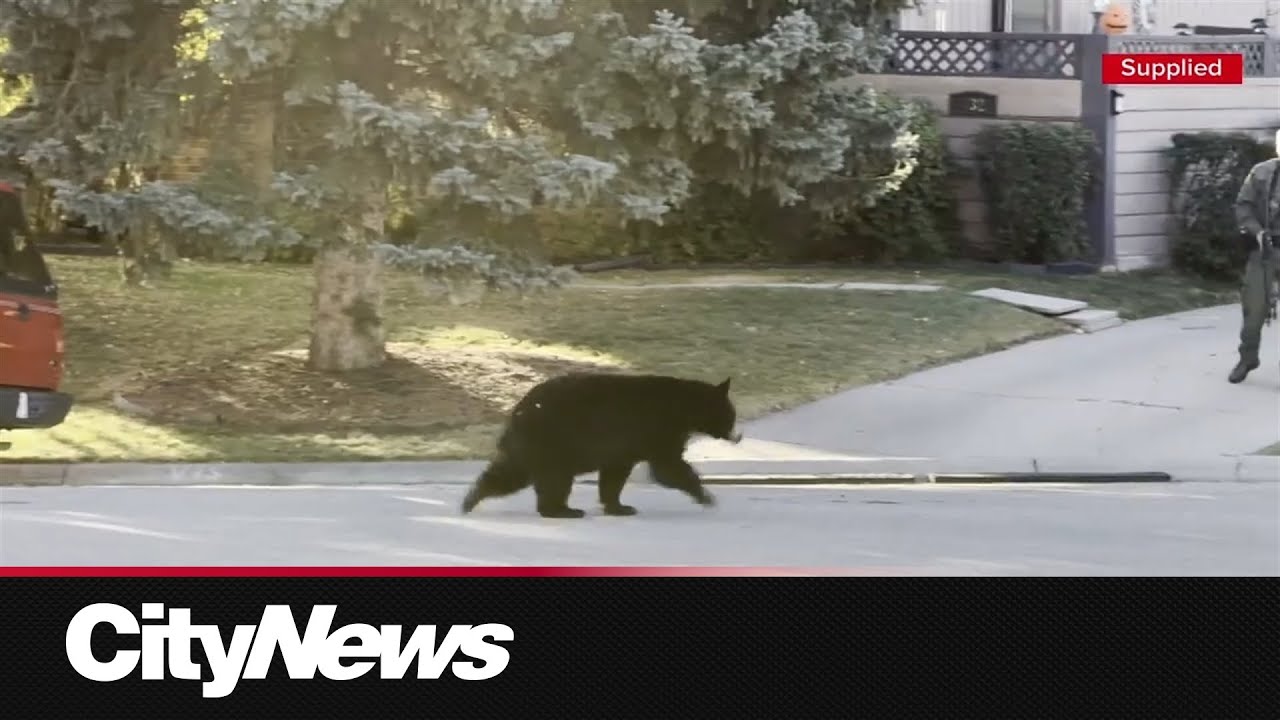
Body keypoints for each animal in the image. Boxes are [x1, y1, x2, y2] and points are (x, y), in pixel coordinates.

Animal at [460, 372, 743, 519]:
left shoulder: (625, 447)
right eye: (731, 415)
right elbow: (668, 467)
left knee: (510, 473)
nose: (737, 436)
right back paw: (563, 511)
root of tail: (517, 411)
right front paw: (706, 496)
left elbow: (614, 475)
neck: (683, 410)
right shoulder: (658, 430)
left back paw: (470, 500)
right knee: (553, 479)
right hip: (553, 442)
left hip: (533, 447)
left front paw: (619, 506)